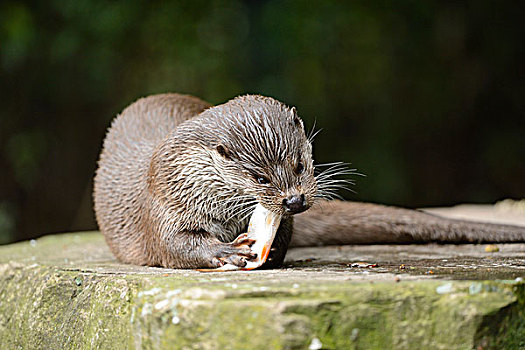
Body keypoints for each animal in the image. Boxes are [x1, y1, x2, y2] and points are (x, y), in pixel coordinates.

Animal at [94, 92, 524, 268]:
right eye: (258, 176)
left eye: (299, 163)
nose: (294, 201)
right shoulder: (165, 199)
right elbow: (174, 246)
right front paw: (226, 253)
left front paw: (268, 248)